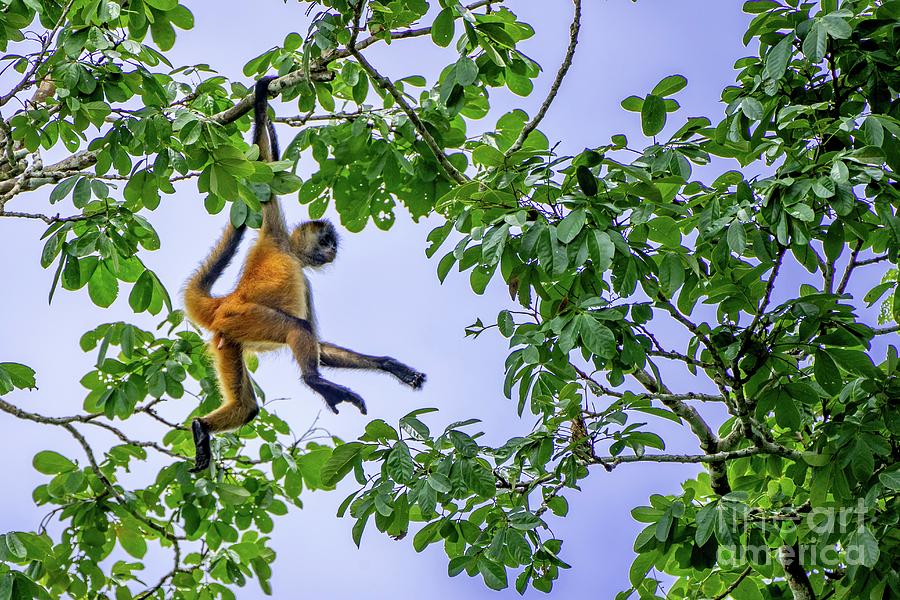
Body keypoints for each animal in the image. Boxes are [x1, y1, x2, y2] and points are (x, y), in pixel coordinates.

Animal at [184, 75, 428, 472]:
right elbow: (264, 172)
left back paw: (200, 427)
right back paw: (316, 382)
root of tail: (224, 302)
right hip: (242, 316)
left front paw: (393, 367)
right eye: (326, 240)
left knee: (247, 407)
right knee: (295, 329)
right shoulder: (273, 232)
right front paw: (261, 98)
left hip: (228, 338)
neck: (290, 253)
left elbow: (323, 346)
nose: (331, 252)